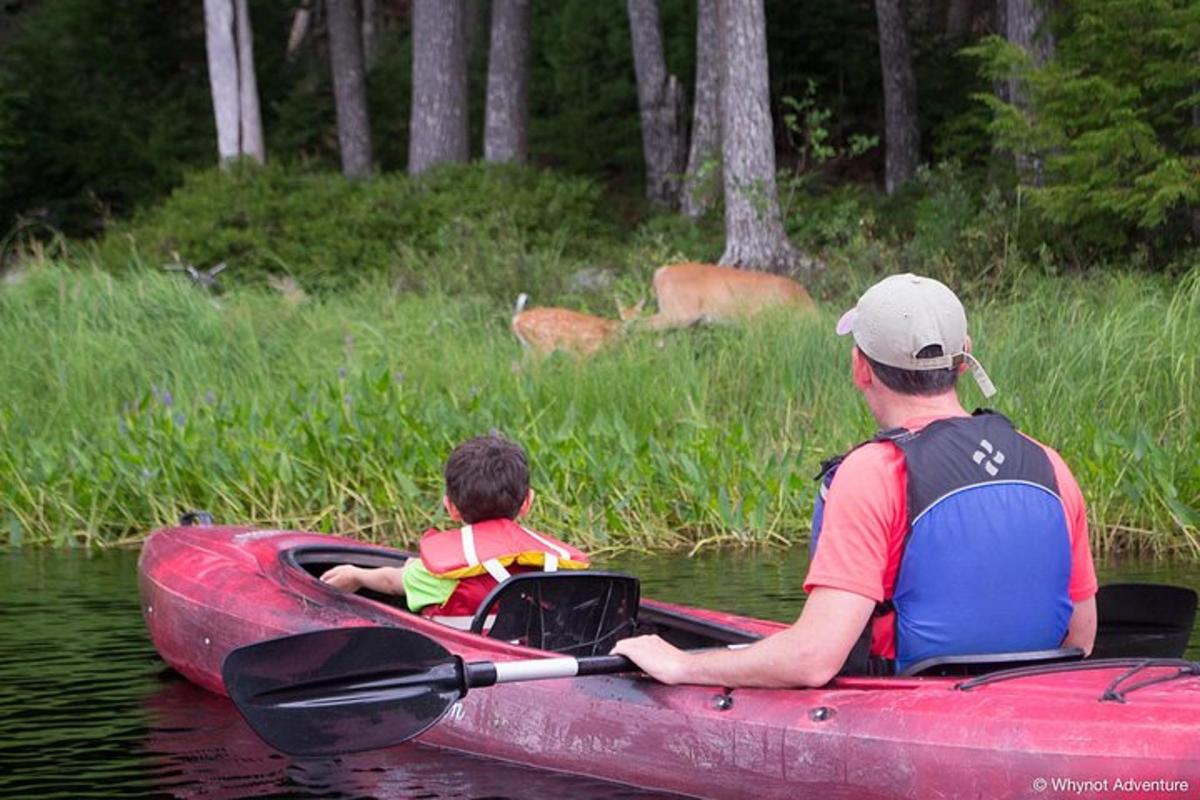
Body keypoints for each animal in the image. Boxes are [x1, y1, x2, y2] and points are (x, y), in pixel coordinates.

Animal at [513, 293, 648, 357]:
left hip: (528, 347)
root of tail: (516, 319)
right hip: (542, 344)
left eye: (637, 317)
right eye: (622, 316)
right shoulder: (585, 350)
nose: (629, 327)